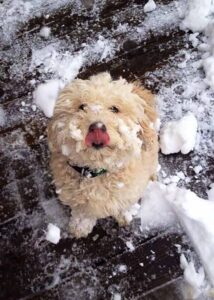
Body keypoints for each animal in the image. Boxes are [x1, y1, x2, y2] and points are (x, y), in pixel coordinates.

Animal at [48, 71, 159, 238]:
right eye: (82, 107)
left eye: (114, 109)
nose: (97, 127)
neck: (96, 172)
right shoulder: (77, 201)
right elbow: (83, 214)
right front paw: (79, 226)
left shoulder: (128, 191)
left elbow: (123, 204)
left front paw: (124, 215)